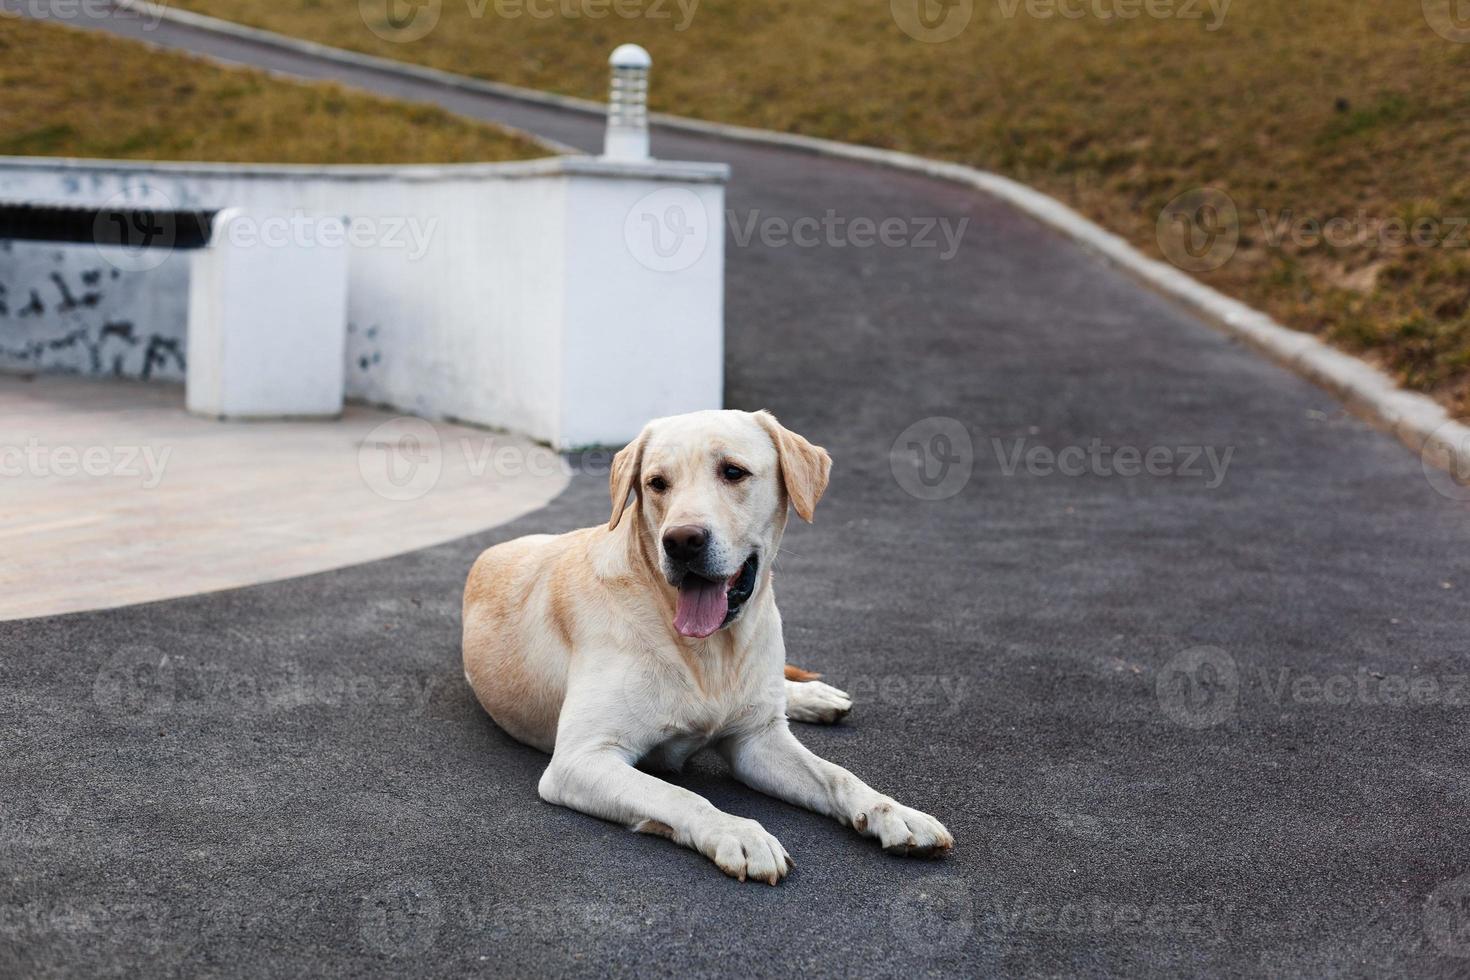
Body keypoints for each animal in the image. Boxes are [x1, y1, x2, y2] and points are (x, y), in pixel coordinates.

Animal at [464, 411, 958, 887]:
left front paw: (895, 814)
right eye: (657, 483)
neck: (710, 650)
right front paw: (738, 832)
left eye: (733, 472)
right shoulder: (581, 759)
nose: (682, 541)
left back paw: (812, 697)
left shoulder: (756, 742)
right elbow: (680, 794)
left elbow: (839, 775)